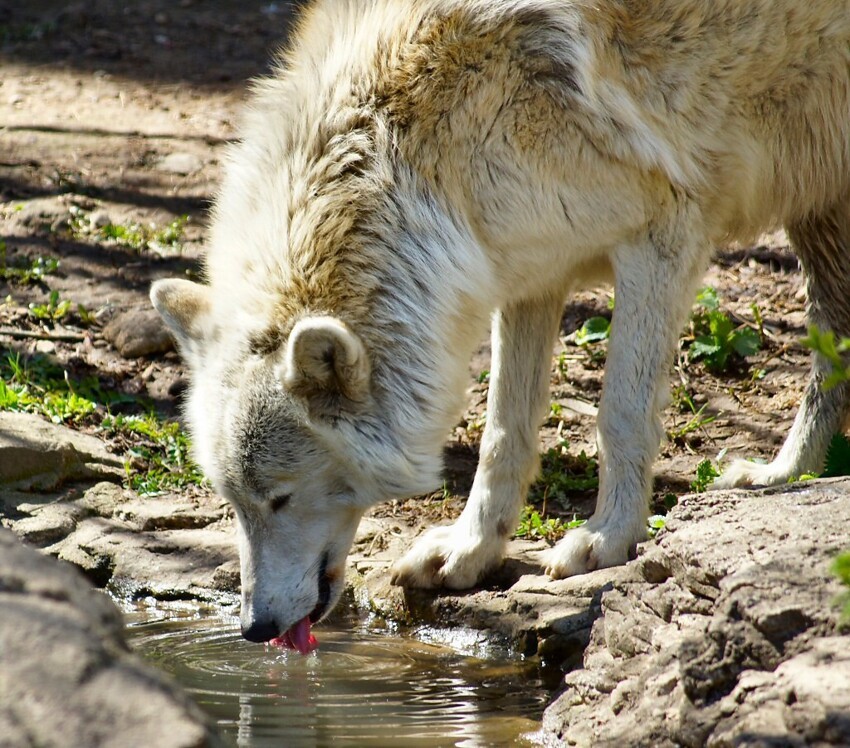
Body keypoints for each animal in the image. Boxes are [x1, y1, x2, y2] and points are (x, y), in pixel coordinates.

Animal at [151, 0, 848, 648]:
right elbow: (502, 431)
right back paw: (783, 477)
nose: (253, 628)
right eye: (234, 502)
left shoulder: (662, 235)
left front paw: (607, 539)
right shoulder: (527, 270)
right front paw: (470, 551)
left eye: (280, 498)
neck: (419, 142)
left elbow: (620, 415)